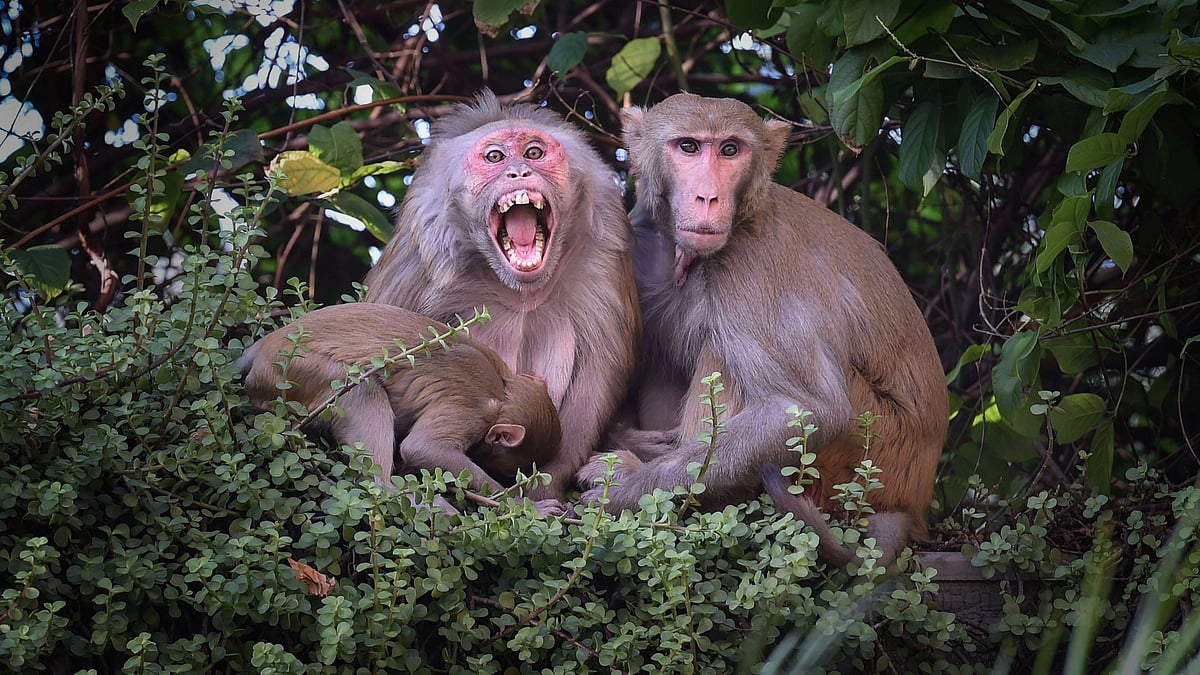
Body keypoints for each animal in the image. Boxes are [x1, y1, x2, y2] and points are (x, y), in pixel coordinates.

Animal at [237, 303, 562, 505]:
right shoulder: (473, 411)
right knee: (361, 391)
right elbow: (423, 447)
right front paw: (517, 503)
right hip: (294, 370)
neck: (504, 386)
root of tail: (265, 346)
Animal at [363, 90, 641, 503]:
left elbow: (599, 371)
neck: (519, 289)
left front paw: (545, 492)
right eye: (495, 157)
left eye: (534, 153)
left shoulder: (604, 248)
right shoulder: (424, 252)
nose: (519, 172)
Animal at [578, 93, 947, 566]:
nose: (708, 197)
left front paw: (623, 491)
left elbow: (803, 408)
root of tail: (913, 503)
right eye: (688, 147)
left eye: (730, 150)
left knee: (724, 357)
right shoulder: (635, 251)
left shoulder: (749, 265)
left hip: (870, 456)